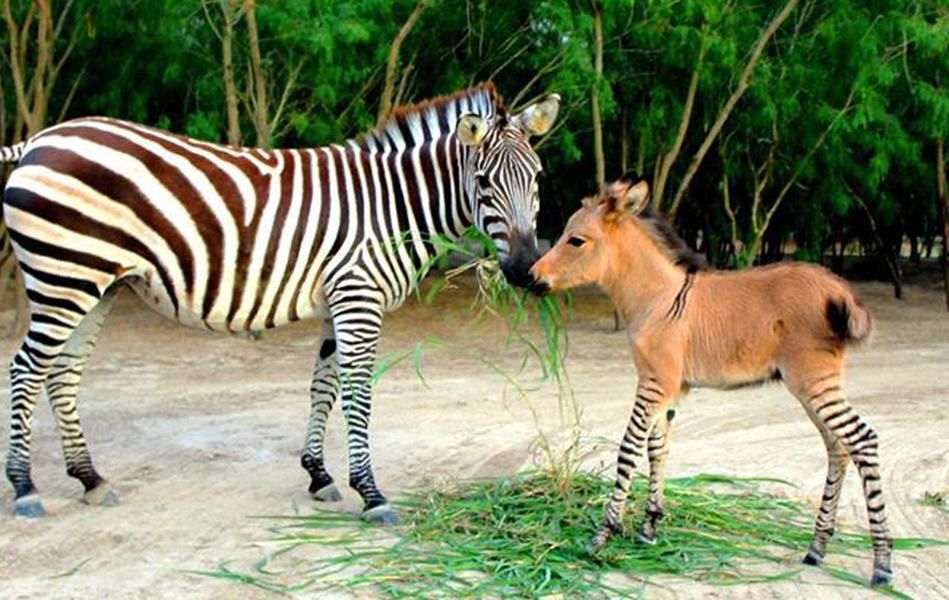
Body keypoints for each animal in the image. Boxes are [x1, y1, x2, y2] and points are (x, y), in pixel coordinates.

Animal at [0, 82, 560, 524]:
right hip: (64, 278)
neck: (391, 206)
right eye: (483, 182)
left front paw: (318, 475)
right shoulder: (359, 298)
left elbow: (323, 389)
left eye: (536, 177)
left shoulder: (338, 302)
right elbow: (358, 395)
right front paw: (371, 493)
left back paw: (90, 479)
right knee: (26, 369)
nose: (524, 271)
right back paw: (26, 488)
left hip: (95, 284)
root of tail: (42, 137)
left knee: (62, 375)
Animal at [528, 173, 892, 584]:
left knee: (862, 439)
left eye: (575, 240)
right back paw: (817, 548)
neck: (656, 299)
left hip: (813, 380)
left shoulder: (654, 383)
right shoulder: (669, 387)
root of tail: (838, 288)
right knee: (837, 446)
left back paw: (882, 563)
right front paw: (649, 528)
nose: (530, 278)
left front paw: (604, 534)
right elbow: (658, 449)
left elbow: (628, 450)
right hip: (810, 385)